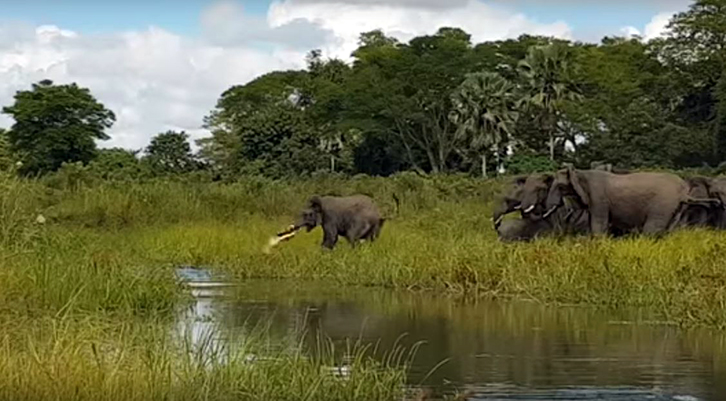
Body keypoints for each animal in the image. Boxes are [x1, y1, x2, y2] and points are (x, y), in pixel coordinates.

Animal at [526, 166, 691, 236]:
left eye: (560, 187)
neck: (580, 172)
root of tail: (684, 189)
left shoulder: (598, 197)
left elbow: (598, 223)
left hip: (663, 204)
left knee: (652, 228)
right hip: (676, 207)